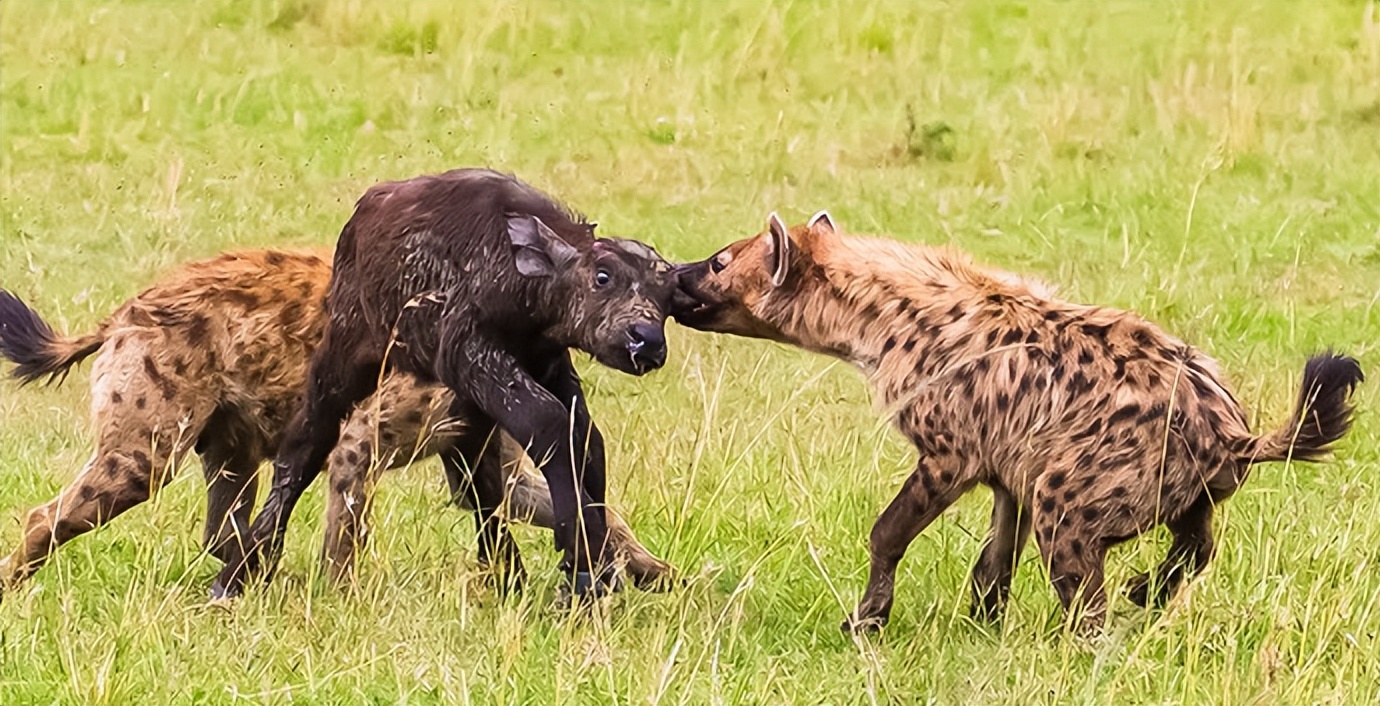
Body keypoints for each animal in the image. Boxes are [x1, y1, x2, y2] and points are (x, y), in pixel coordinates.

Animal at [0, 248, 673, 601]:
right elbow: (345, 540)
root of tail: (122, 312)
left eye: (662, 299)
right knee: (45, 516)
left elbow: (589, 510)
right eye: (611, 284)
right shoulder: (360, 439)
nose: (650, 342)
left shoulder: (483, 458)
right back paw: (14, 587)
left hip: (230, 453)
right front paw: (339, 604)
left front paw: (654, 572)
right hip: (146, 454)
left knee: (223, 530)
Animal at [212, 168, 687, 598]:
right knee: (304, 448)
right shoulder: (468, 351)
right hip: (346, 356)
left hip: (466, 406)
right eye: (602, 276)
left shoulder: (546, 367)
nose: (645, 341)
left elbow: (586, 440)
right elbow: (550, 426)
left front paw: (596, 565)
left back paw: (507, 574)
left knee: (481, 485)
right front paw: (584, 562)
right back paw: (237, 574)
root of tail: (365, 213)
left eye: (668, 299)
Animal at [673, 212, 1363, 631]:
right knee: (1197, 543)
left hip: (1074, 494)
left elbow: (888, 530)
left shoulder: (952, 451)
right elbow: (996, 554)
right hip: (1174, 488)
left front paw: (865, 620)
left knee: (1087, 594)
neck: (880, 320)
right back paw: (1147, 591)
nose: (674, 271)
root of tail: (1231, 430)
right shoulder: (1014, 459)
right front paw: (982, 621)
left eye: (718, 261)